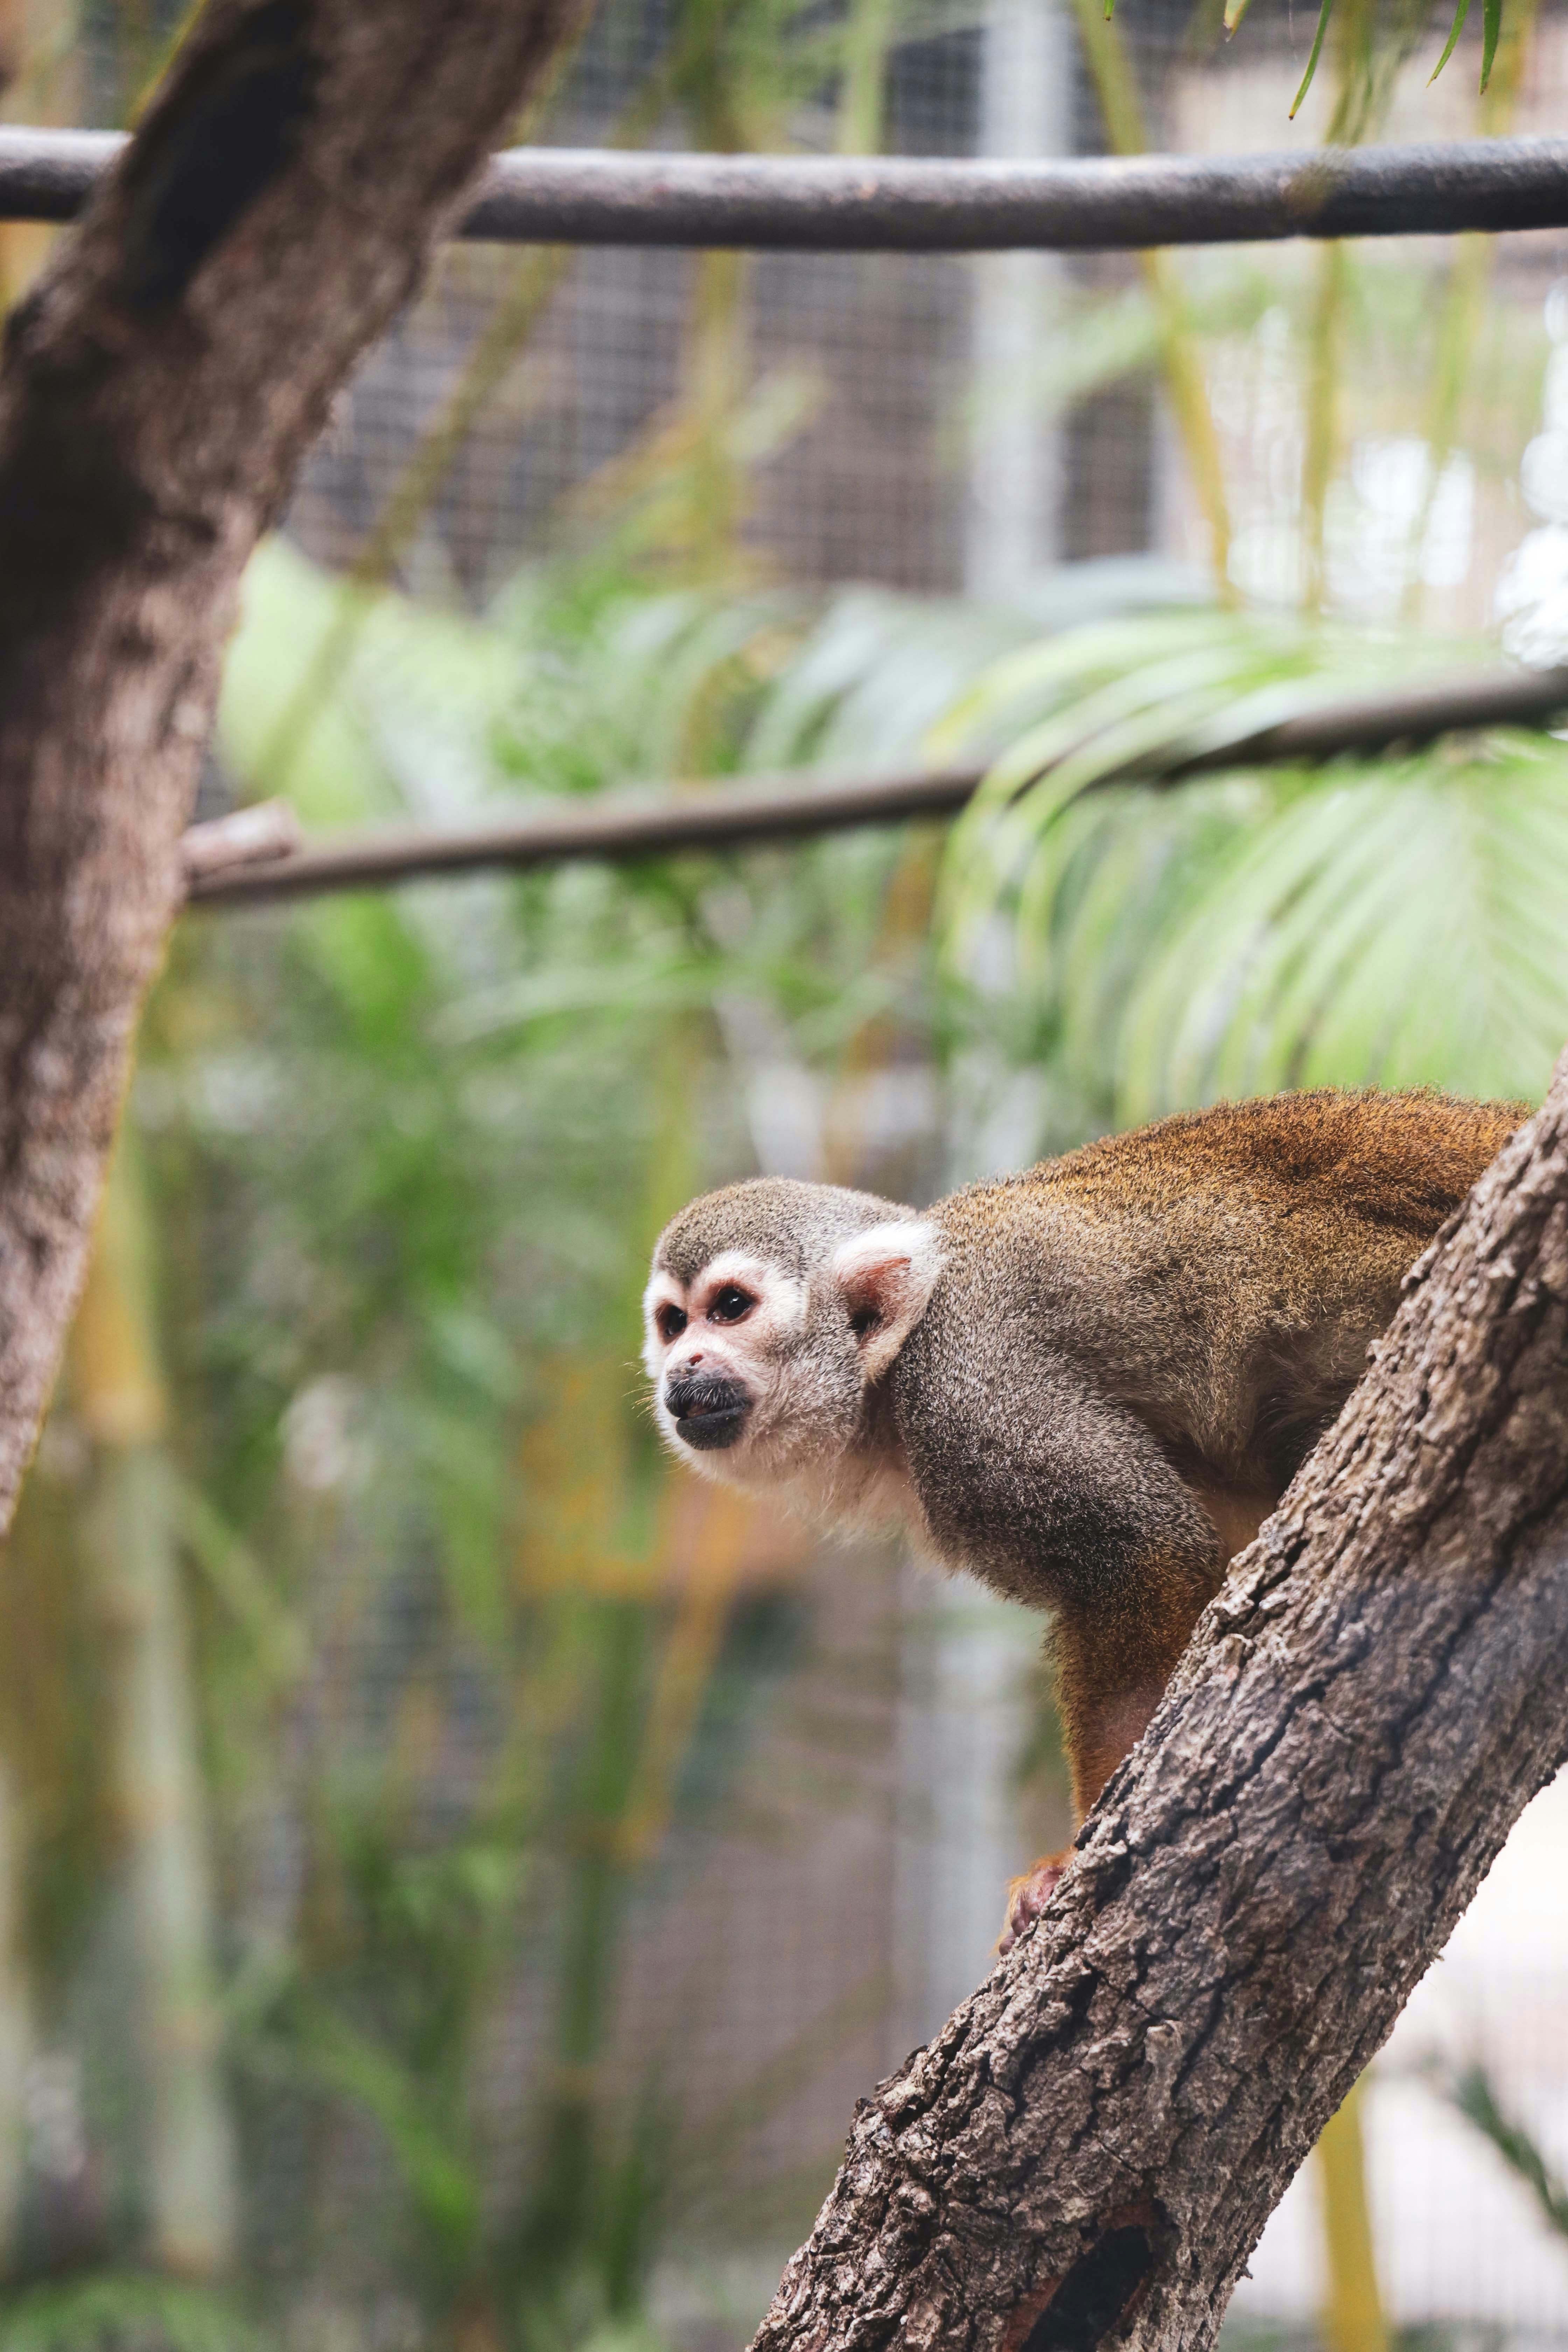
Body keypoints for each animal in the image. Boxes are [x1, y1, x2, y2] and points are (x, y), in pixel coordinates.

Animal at [642, 1087, 1526, 1946]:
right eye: (672, 1322)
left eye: (730, 1307)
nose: (682, 1368)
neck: (888, 1379)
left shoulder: (971, 1391)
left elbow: (1144, 1553)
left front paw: (1075, 1857)